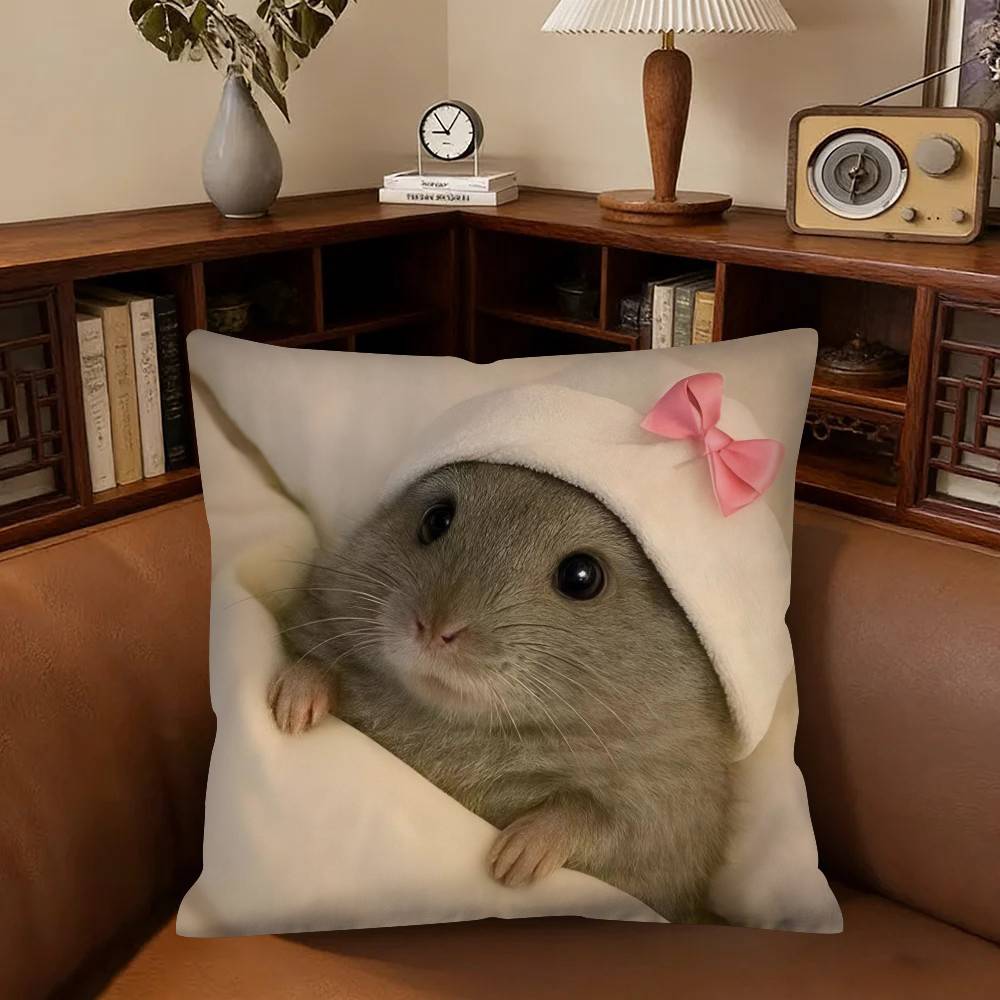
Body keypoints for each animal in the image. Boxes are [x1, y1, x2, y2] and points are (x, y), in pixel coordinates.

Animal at [269, 461, 735, 922]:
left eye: (581, 577)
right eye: (436, 520)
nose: (434, 630)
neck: (458, 724)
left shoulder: (671, 813)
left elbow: (600, 819)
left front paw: (521, 851)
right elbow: (314, 657)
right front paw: (299, 697)